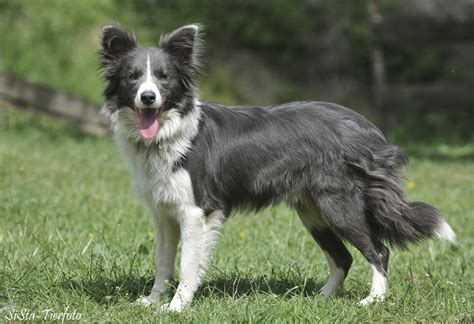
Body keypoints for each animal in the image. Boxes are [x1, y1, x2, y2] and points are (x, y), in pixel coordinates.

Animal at [99, 23, 456, 312]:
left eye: (164, 78)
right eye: (133, 77)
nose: (148, 98)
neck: (168, 133)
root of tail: (367, 127)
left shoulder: (196, 211)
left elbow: (187, 264)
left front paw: (176, 307)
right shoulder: (163, 213)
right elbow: (163, 262)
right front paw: (151, 301)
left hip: (338, 205)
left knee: (378, 251)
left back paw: (374, 299)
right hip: (312, 211)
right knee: (343, 257)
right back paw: (320, 299)